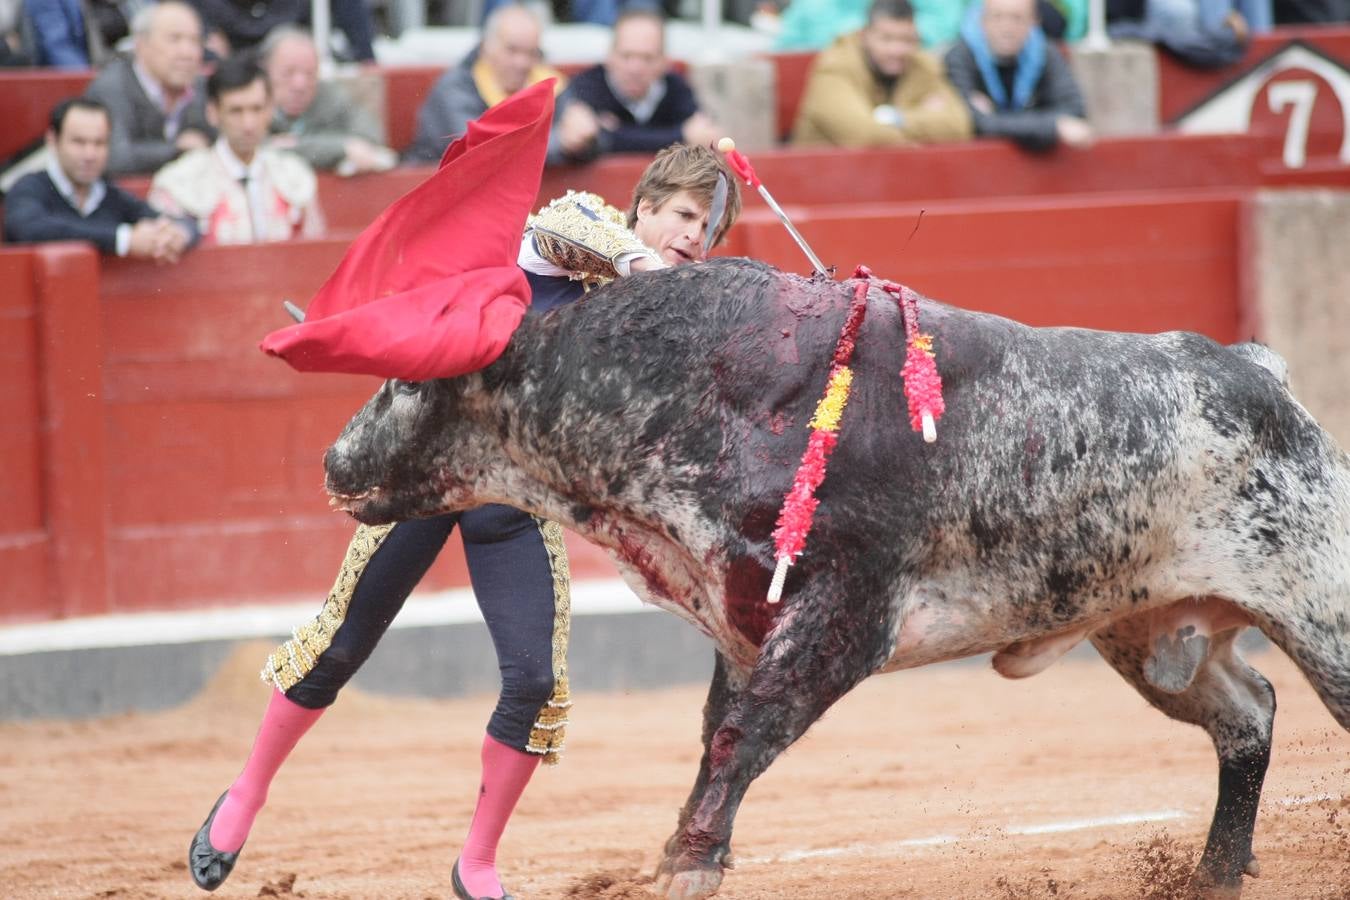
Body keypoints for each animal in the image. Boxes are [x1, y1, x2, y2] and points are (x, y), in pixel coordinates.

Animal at [324, 256, 1350, 895]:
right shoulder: (744, 617)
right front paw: (685, 851)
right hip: (1145, 631)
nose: (333, 460)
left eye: (403, 383)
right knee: (1248, 710)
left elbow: (742, 736)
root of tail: (1256, 370)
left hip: (1322, 608)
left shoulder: (844, 615)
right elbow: (718, 734)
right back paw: (1212, 876)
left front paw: (690, 863)